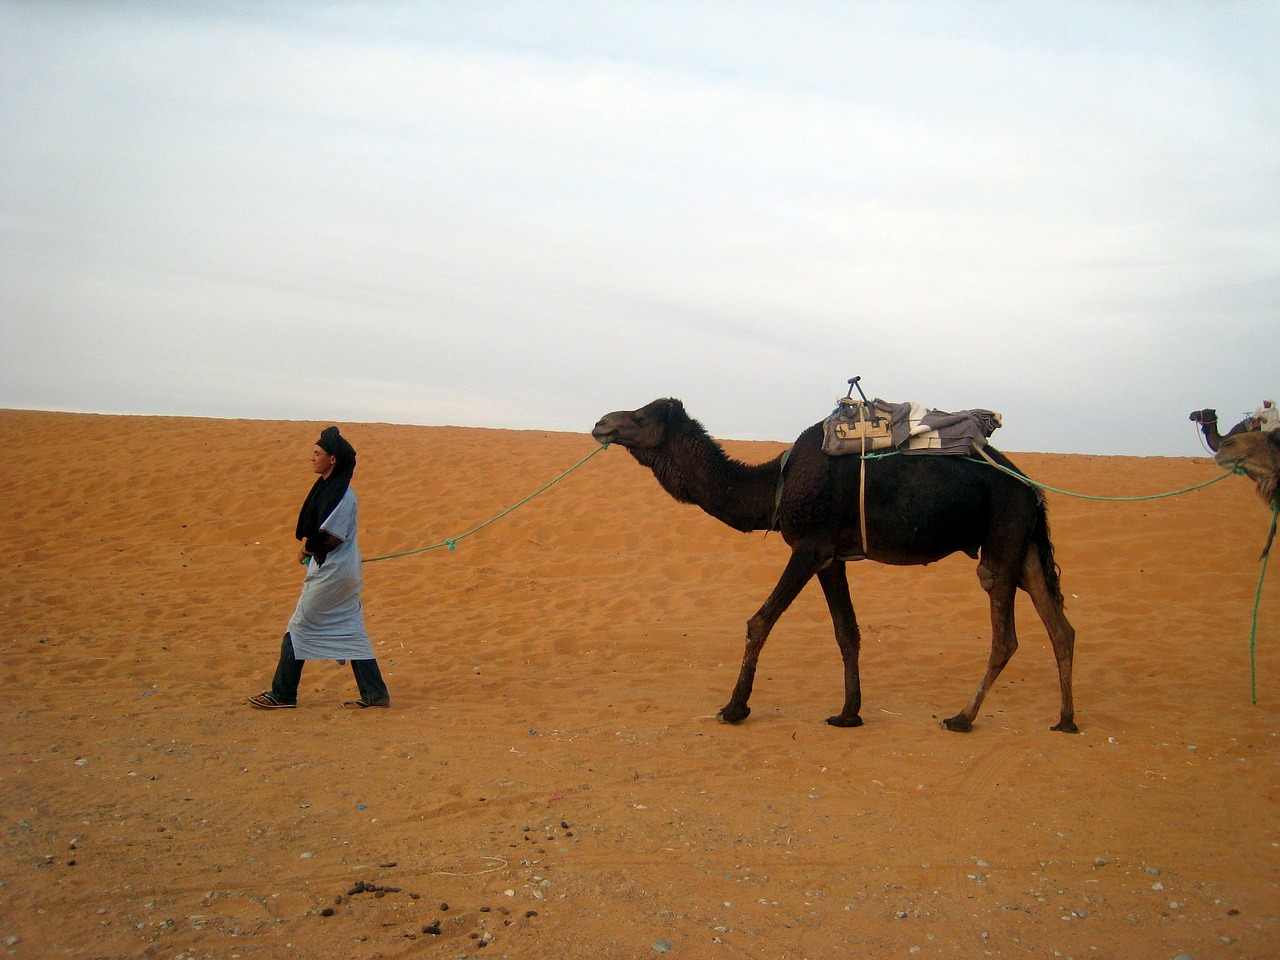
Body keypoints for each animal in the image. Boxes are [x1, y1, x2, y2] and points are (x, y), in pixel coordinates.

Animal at [593, 399, 1075, 737]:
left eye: (641, 416)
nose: (602, 423)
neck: (775, 486)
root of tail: (1033, 489)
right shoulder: (831, 559)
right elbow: (847, 632)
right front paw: (848, 713)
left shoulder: (809, 547)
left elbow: (759, 621)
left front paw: (734, 708)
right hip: (1024, 548)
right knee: (1060, 627)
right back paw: (1066, 719)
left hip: (1001, 542)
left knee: (1006, 636)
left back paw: (962, 717)